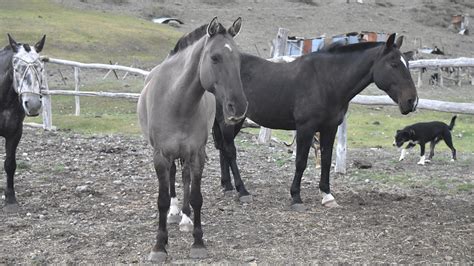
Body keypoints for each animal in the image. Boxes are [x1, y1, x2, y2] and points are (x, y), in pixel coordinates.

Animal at [137, 17, 248, 262]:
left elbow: (197, 196)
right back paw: (174, 212)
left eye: (238, 58)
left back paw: (186, 218)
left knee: (186, 176)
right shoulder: (161, 155)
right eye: (215, 57)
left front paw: (198, 242)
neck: (177, 101)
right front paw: (159, 246)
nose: (238, 106)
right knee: (173, 176)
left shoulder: (197, 153)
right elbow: (162, 198)